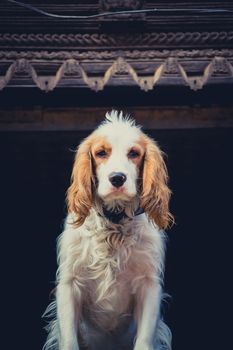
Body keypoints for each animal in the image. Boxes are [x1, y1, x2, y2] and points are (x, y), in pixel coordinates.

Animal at [43, 111, 173, 350]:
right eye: (101, 153)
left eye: (134, 153)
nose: (117, 178)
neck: (115, 223)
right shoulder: (69, 284)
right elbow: (69, 340)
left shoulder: (149, 285)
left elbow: (143, 340)